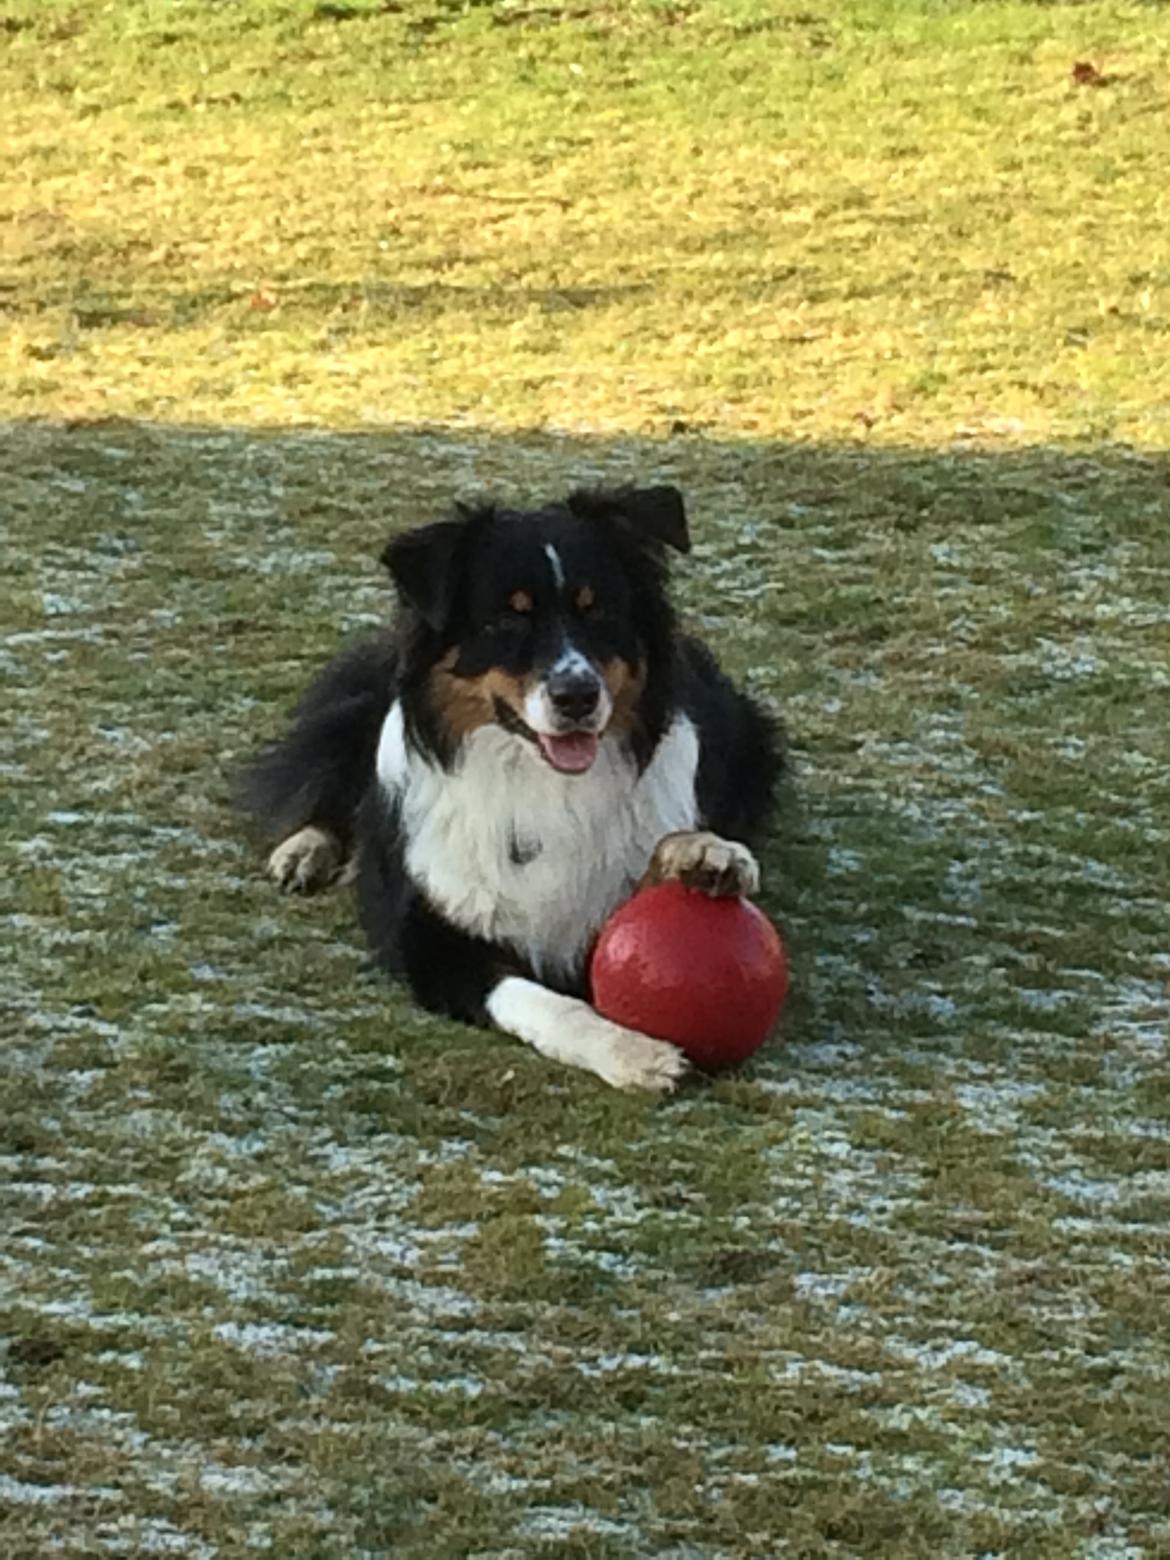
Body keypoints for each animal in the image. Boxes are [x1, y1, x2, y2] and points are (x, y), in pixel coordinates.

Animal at [238, 483, 783, 1085]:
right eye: (507, 619)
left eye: (597, 609)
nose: (577, 697)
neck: (542, 781)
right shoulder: (430, 942)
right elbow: (544, 1001)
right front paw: (630, 1052)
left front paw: (703, 856)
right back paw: (304, 849)